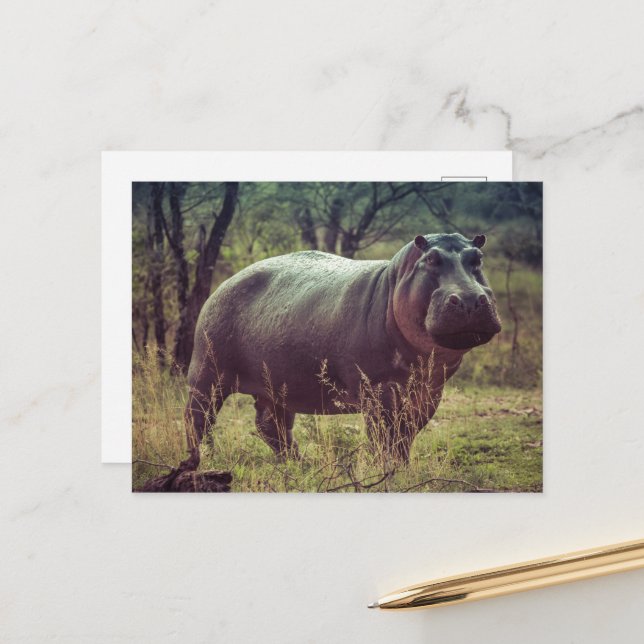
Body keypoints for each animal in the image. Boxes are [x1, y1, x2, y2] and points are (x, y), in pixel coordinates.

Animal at [185, 233, 501, 462]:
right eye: (432, 259)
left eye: (478, 258)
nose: (470, 298)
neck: (394, 281)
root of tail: (227, 281)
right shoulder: (378, 390)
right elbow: (383, 437)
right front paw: (387, 471)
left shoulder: (429, 391)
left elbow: (405, 437)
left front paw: (403, 468)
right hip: (207, 373)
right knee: (197, 418)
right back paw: (204, 460)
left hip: (275, 386)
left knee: (271, 425)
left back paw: (299, 464)